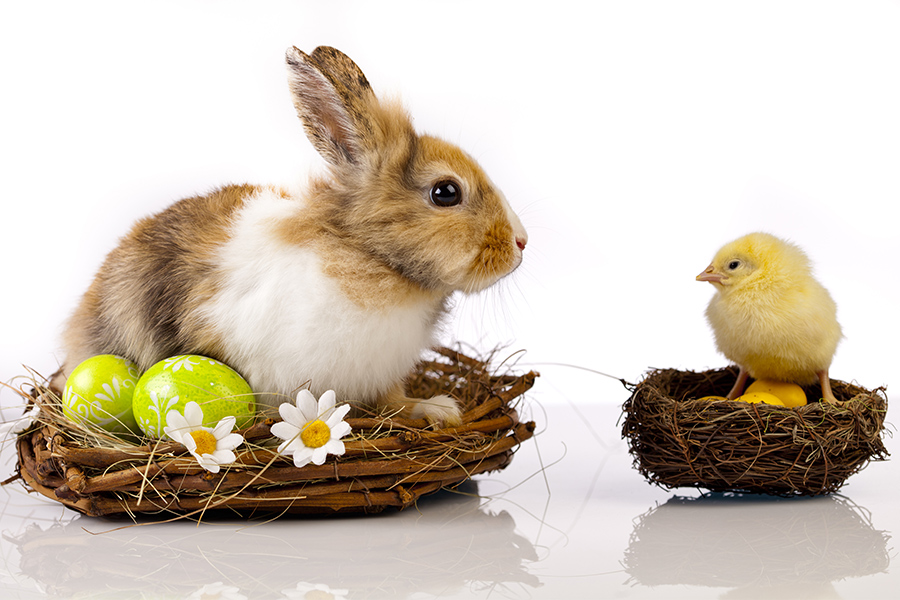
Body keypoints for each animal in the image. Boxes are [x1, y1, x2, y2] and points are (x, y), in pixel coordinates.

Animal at [58, 45, 528, 426]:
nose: (521, 243)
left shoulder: (381, 375)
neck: (370, 257)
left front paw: (435, 409)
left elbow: (395, 402)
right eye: (446, 192)